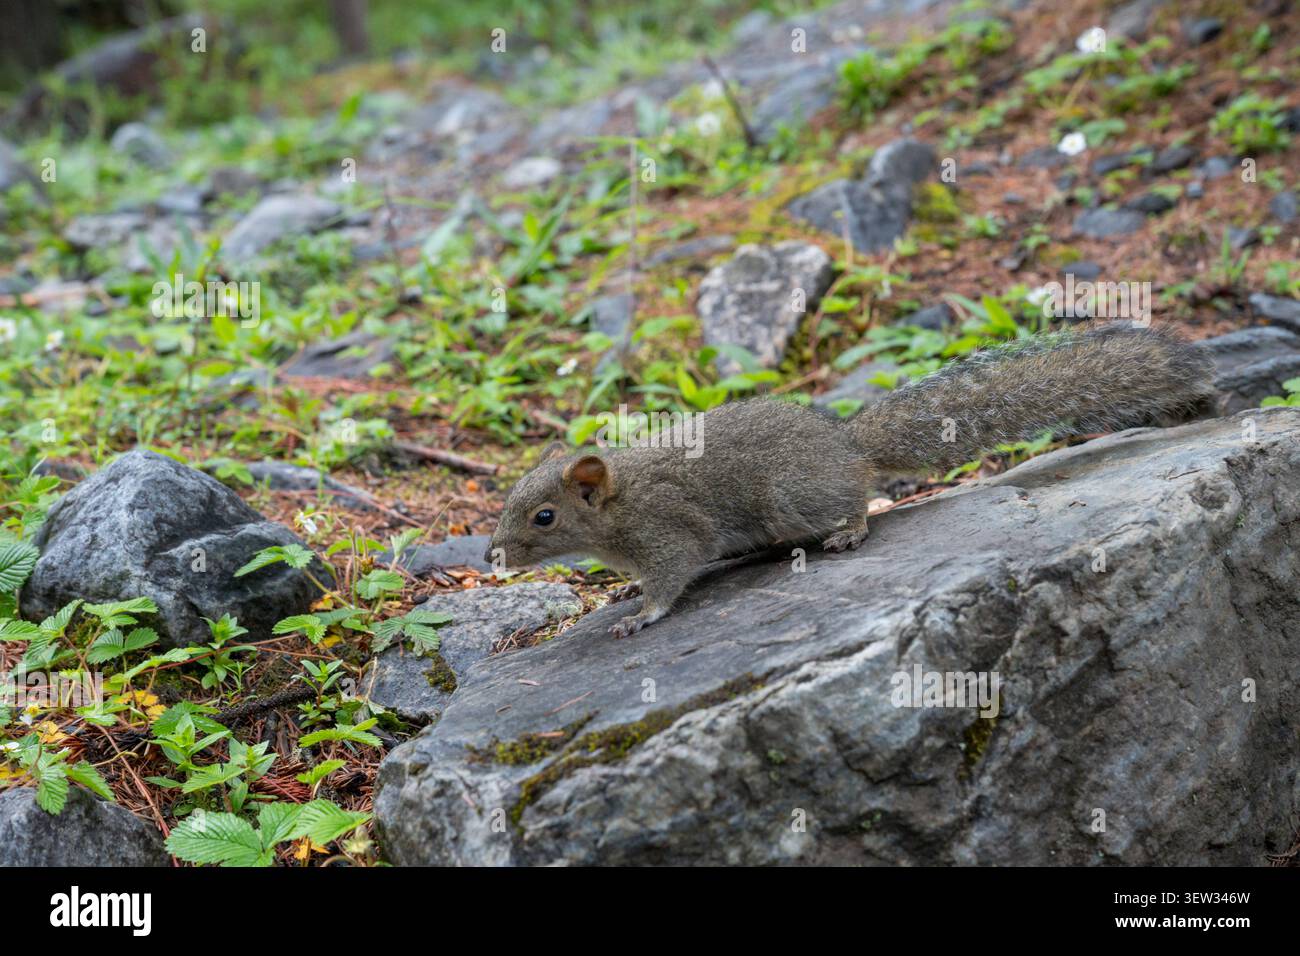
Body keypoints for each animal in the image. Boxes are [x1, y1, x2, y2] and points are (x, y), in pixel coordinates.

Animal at [486, 323, 1217, 638]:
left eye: (544, 517)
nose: (493, 555)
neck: (617, 508)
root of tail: (844, 445)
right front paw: (619, 595)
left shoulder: (668, 528)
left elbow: (670, 578)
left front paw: (641, 614)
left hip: (791, 495)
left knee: (864, 492)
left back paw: (851, 530)